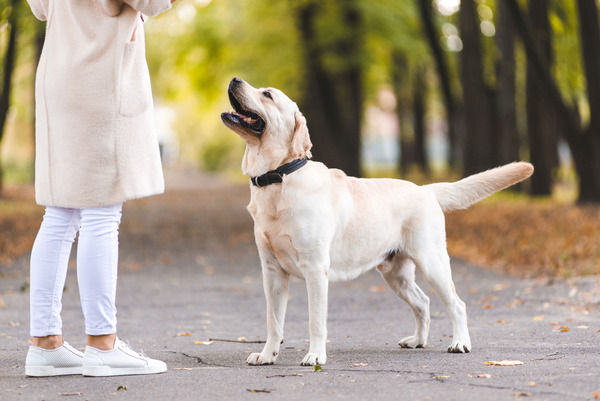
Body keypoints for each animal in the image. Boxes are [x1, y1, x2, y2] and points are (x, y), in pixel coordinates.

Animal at [221, 76, 536, 364]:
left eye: (267, 94)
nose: (235, 79)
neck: (278, 177)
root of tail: (426, 189)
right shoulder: (272, 271)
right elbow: (273, 321)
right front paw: (267, 355)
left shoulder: (315, 268)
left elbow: (316, 321)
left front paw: (315, 356)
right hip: (396, 274)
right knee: (423, 302)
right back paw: (417, 341)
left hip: (432, 262)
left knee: (457, 304)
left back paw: (460, 343)